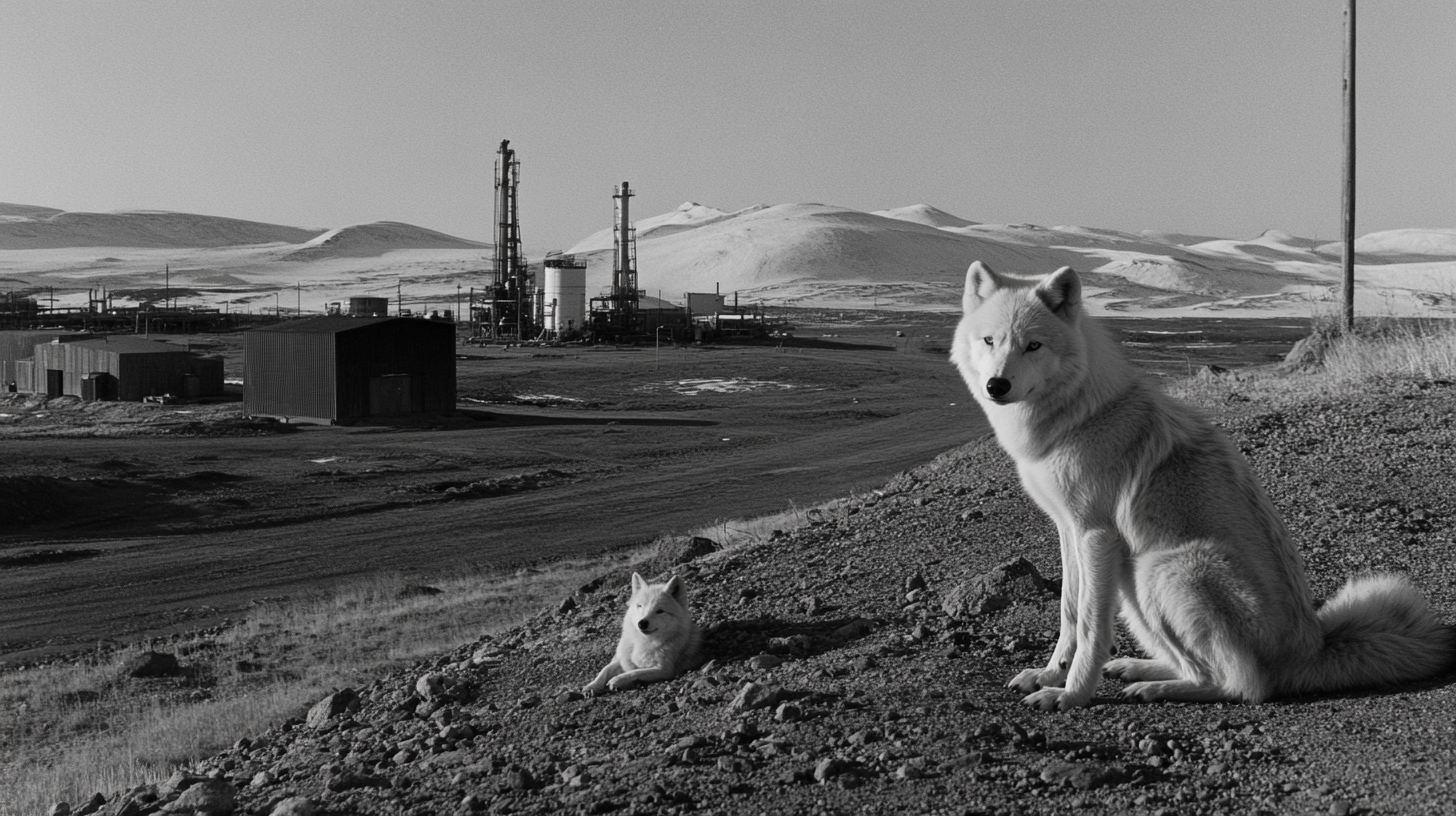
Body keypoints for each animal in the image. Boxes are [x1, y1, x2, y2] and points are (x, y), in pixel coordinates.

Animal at [949, 259, 1450, 708]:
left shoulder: (1095, 535)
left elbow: (1090, 628)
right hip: (1135, 585)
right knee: (1204, 668)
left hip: (1159, 568)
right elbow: (1069, 614)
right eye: (990, 341)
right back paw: (1140, 669)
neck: (1082, 414)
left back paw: (1156, 687)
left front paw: (1070, 696)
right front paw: (1049, 674)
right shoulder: (1069, 531)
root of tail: (1310, 651)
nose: (997, 385)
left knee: (1244, 685)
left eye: (1033, 345)